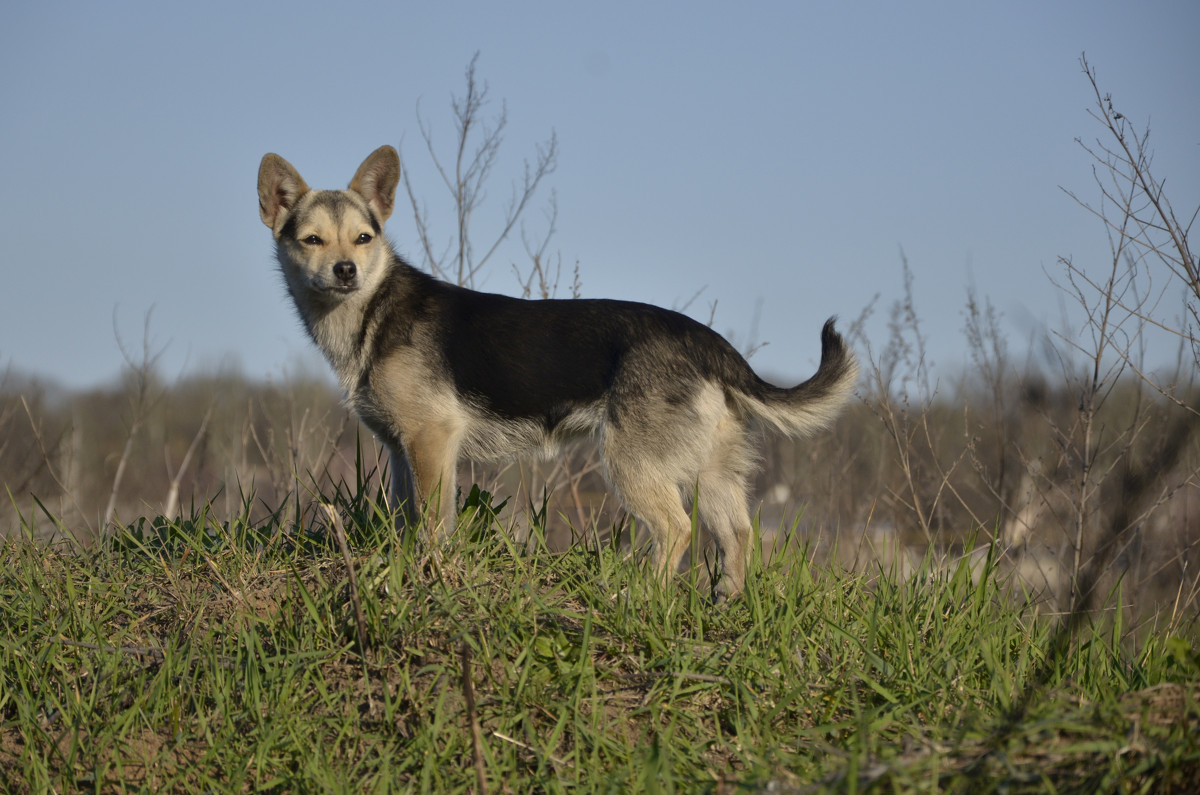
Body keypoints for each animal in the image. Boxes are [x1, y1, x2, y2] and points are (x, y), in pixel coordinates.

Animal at [258, 146, 859, 600]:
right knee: (736, 534)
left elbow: (432, 524)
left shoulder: (432, 442)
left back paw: (641, 596)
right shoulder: (402, 450)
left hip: (629, 461)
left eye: (363, 238)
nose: (346, 271)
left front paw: (428, 576)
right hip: (713, 473)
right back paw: (725, 602)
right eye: (312, 240)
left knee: (676, 529)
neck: (373, 309)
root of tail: (710, 343)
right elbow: (410, 520)